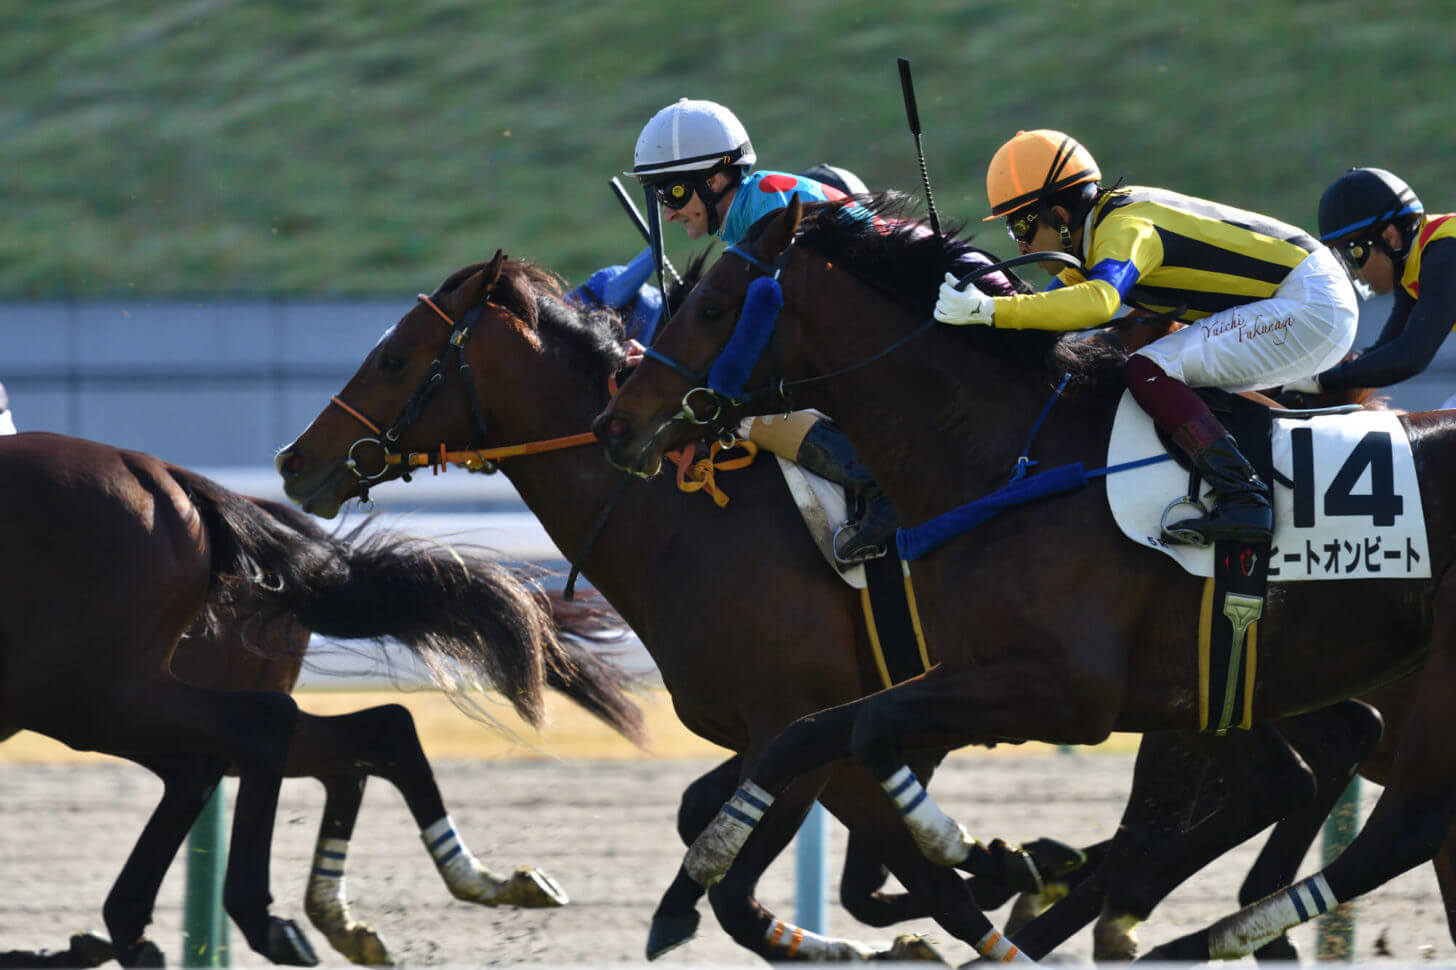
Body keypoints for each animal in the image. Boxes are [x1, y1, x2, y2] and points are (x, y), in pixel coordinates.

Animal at [0, 431, 643, 967]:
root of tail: (160, 473)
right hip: (111, 697)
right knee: (363, 733)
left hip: (92, 694)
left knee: (262, 729)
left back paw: (255, 919)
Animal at [275, 253, 1094, 961]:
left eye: (393, 359)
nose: (293, 461)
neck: (688, 520)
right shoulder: (795, 735)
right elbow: (727, 836)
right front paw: (1015, 871)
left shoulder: (808, 724)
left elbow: (795, 882)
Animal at [596, 196, 1456, 961]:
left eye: (712, 308)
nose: (616, 424)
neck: (1012, 454)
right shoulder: (973, 672)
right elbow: (811, 737)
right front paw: (703, 869)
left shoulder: (1068, 690)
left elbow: (867, 734)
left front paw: (964, 848)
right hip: (1218, 691)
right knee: (1296, 786)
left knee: (1404, 825)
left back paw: (1196, 937)